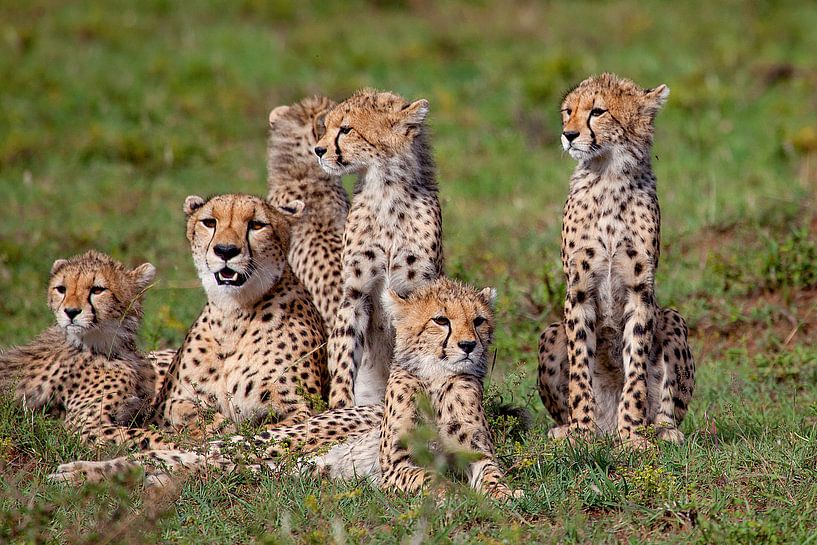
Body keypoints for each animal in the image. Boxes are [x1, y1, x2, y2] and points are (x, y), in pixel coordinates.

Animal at [50, 278, 519, 501]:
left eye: (478, 320)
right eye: (441, 320)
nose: (469, 345)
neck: (438, 380)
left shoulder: (477, 454)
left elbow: (494, 476)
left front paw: (506, 494)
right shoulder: (397, 466)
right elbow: (428, 478)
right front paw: (453, 495)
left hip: (272, 467)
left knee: (184, 467)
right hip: (269, 445)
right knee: (170, 454)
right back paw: (74, 472)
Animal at [314, 89, 444, 409]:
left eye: (346, 129)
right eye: (326, 126)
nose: (318, 150)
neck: (387, 192)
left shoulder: (417, 292)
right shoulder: (355, 293)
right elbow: (344, 353)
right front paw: (340, 405)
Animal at [536, 73, 695, 447]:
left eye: (598, 111)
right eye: (568, 111)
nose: (568, 135)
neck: (607, 174)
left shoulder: (640, 290)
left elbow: (635, 363)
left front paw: (633, 435)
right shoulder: (578, 288)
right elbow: (580, 365)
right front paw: (581, 431)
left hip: (673, 318)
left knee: (668, 407)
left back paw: (663, 431)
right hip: (551, 332)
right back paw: (568, 428)